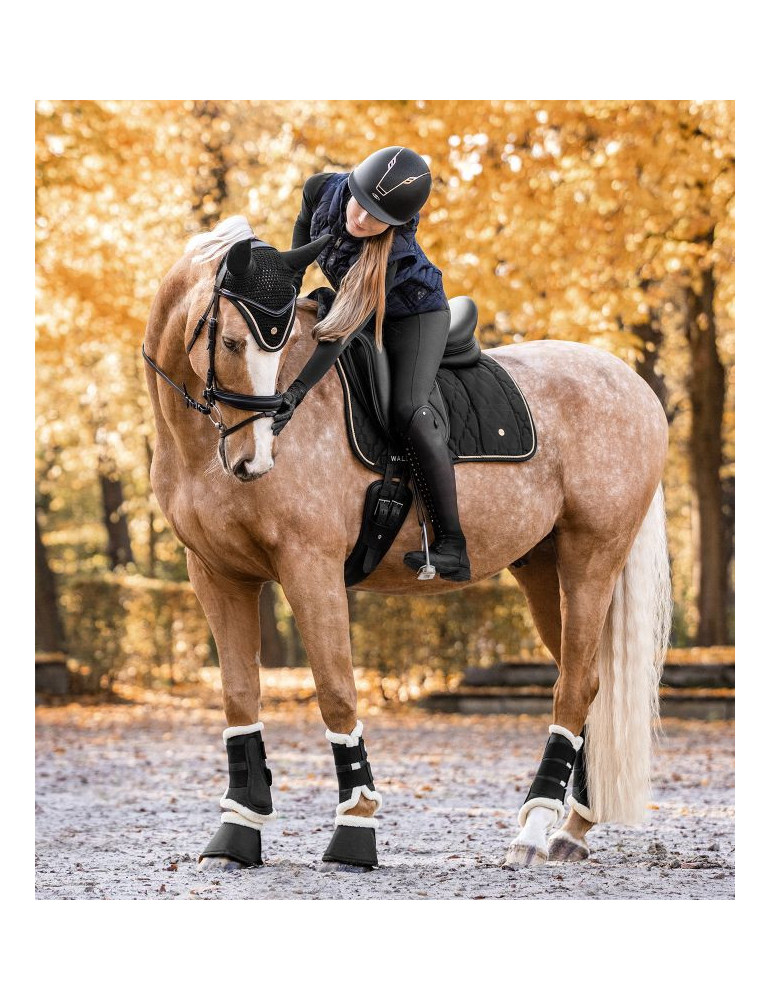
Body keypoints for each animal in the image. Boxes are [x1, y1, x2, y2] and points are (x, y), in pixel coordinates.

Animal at [142, 215, 672, 873]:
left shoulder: (309, 567)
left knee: (573, 685)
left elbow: (336, 691)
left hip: (591, 560)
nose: (252, 460)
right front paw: (237, 831)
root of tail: (633, 385)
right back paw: (571, 827)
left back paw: (533, 829)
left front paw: (355, 828)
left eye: (273, 345)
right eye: (235, 344)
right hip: (544, 570)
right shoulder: (215, 573)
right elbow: (240, 698)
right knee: (590, 684)